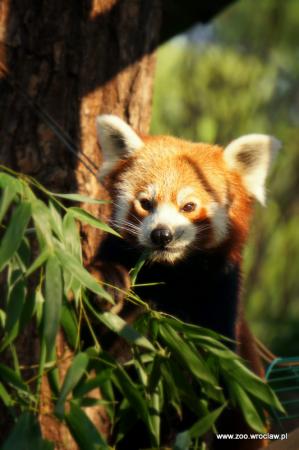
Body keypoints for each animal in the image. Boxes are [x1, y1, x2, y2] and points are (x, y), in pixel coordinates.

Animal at [93, 115, 282, 450]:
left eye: (189, 206)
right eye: (146, 203)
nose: (162, 234)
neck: (171, 274)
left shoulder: (218, 299)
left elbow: (208, 376)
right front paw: (108, 282)